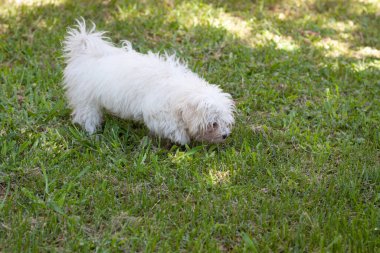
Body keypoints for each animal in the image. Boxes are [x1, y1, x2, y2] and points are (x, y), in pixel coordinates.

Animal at [62, 19, 235, 144]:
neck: (181, 92)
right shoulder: (159, 112)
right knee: (86, 115)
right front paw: (183, 138)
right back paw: (92, 132)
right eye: (213, 123)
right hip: (85, 99)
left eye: (224, 122)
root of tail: (85, 54)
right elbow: (173, 127)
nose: (225, 135)